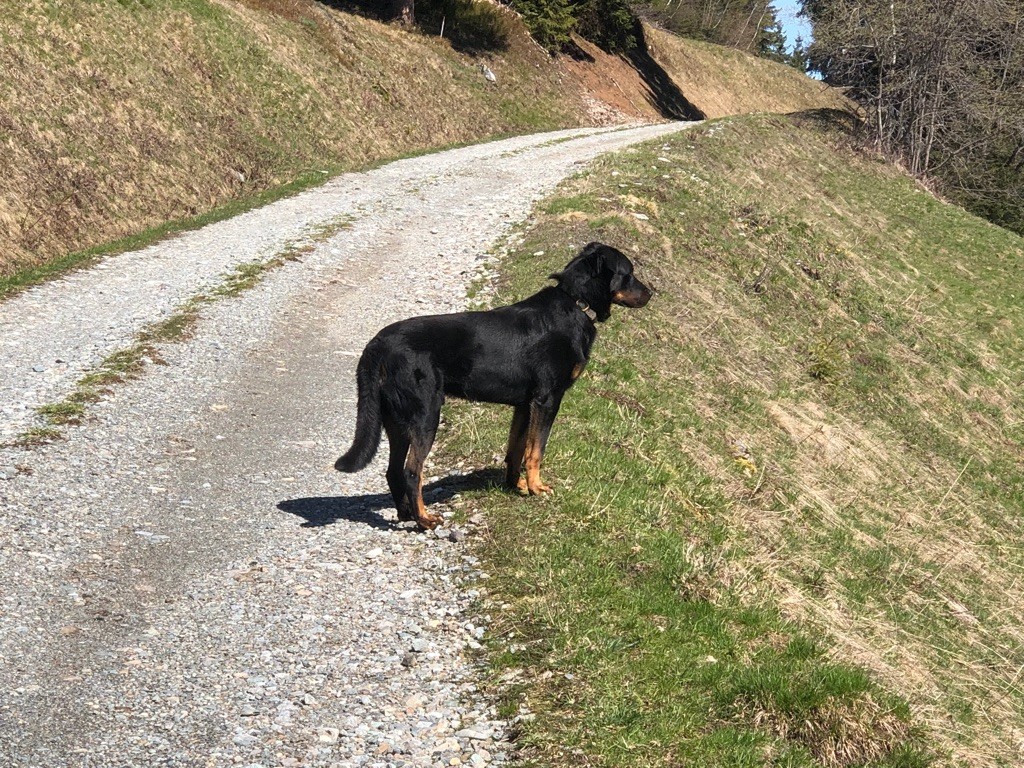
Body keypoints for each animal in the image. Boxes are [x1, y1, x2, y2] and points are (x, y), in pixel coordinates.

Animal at [339, 240, 651, 528]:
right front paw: (537, 488)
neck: (576, 303)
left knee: (393, 471)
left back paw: (406, 515)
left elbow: (517, 449)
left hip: (396, 419)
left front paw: (517, 486)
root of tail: (377, 344)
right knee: (411, 471)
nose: (651, 294)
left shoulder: (525, 406)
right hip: (425, 414)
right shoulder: (547, 399)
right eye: (629, 273)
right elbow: (536, 450)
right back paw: (424, 519)